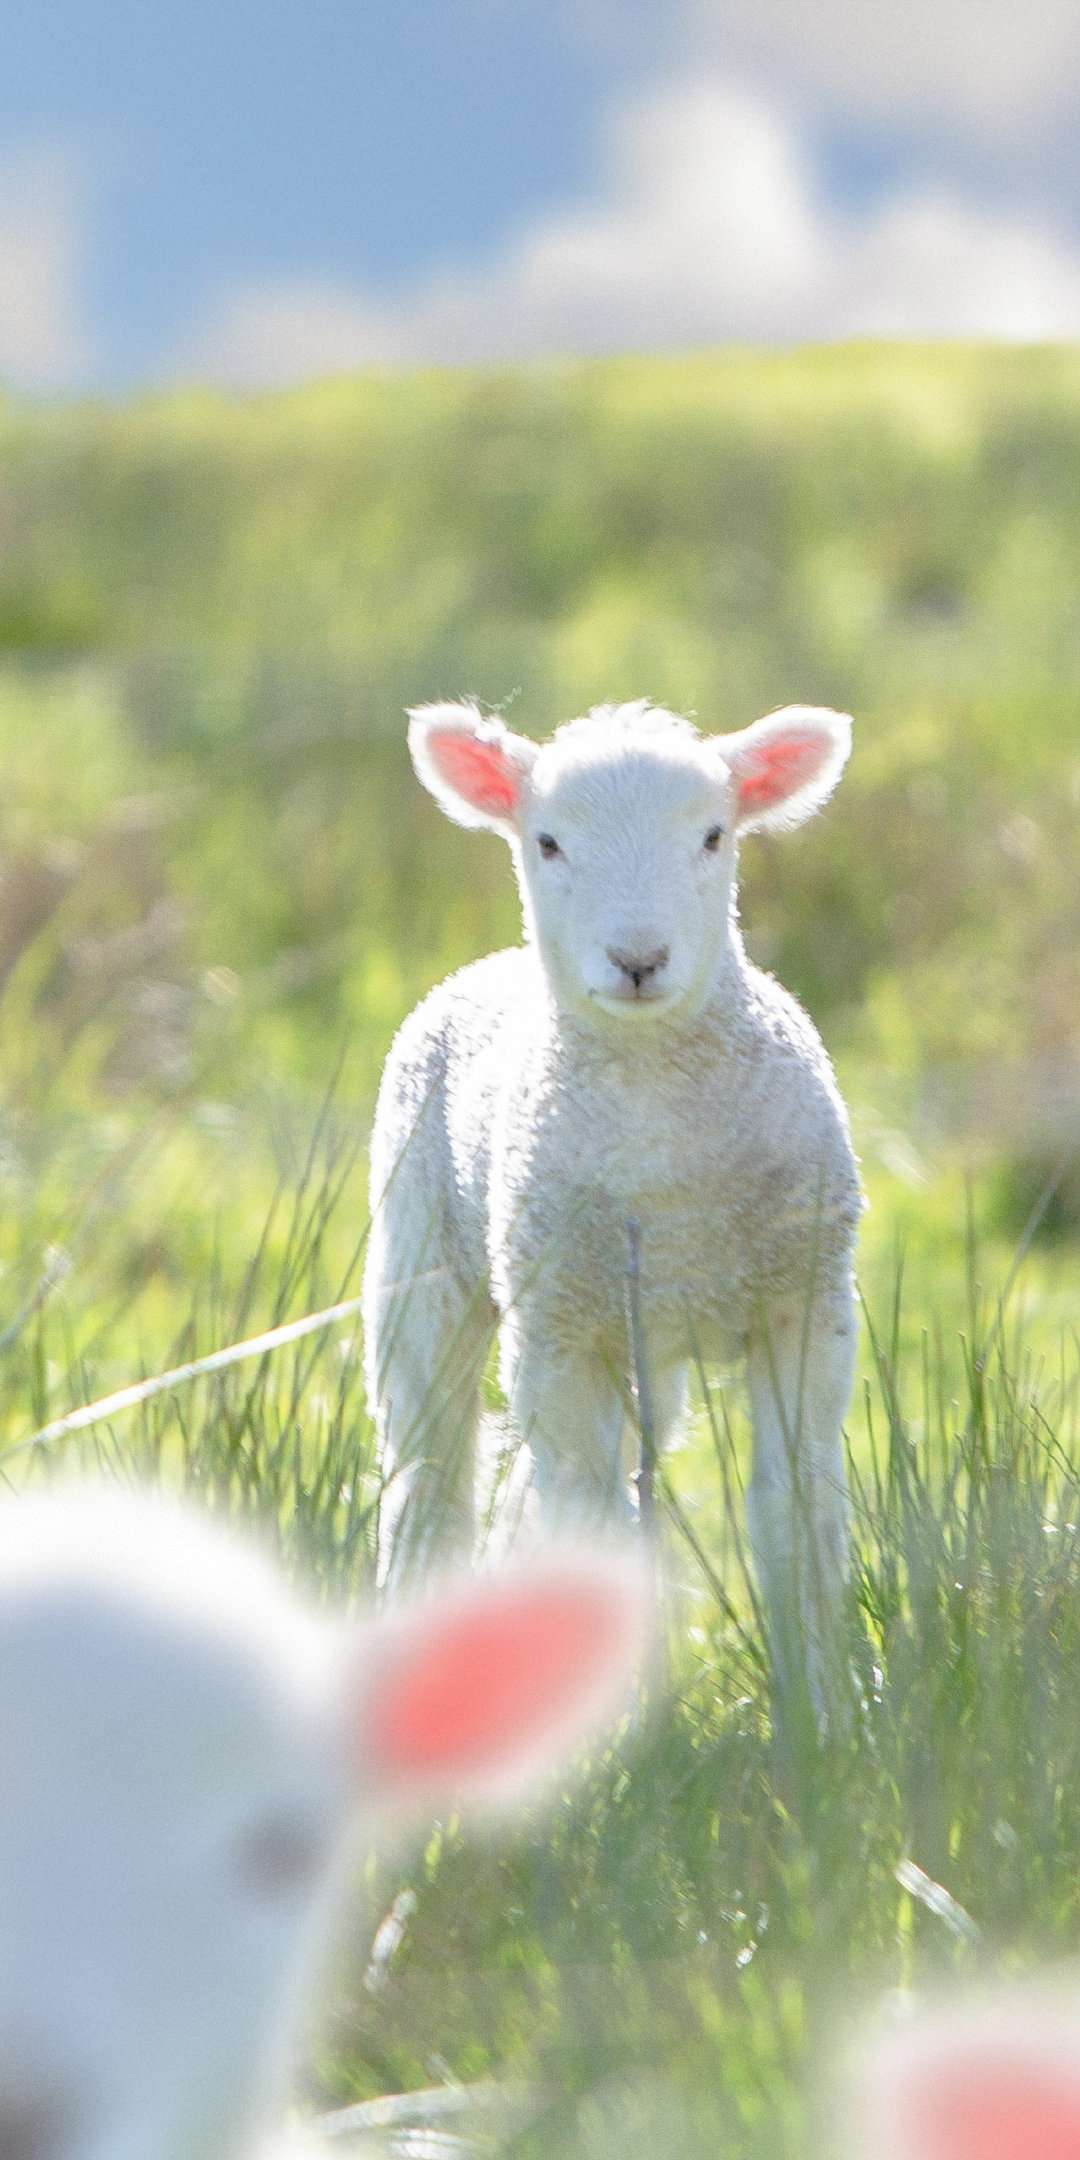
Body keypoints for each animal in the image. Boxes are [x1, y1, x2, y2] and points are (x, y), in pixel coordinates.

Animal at [367, 695, 864, 1702]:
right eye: (548, 841)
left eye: (714, 836)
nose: (638, 959)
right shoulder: (558, 1330)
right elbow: (588, 1525)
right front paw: (623, 1728)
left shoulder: (806, 1305)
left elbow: (796, 1513)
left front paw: (822, 1708)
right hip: (421, 1261)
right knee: (431, 1475)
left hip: (644, 1341)